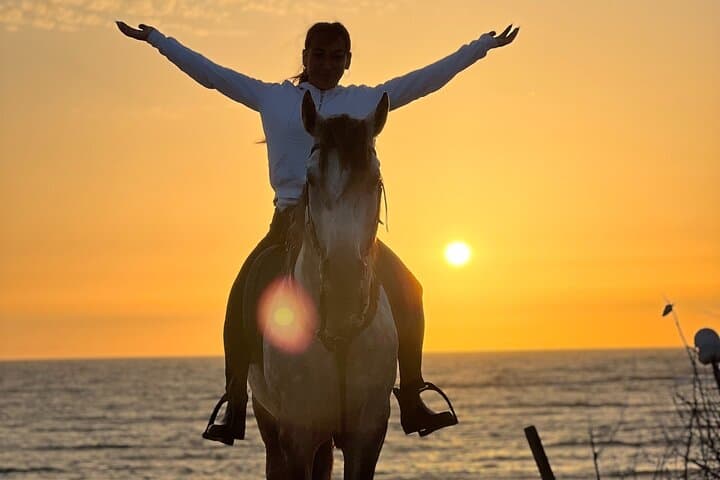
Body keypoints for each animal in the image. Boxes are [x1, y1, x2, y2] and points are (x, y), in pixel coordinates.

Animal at [247, 91, 398, 480]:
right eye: (310, 179)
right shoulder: (297, 435)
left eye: (375, 179)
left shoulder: (368, 434)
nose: (344, 284)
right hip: (269, 420)